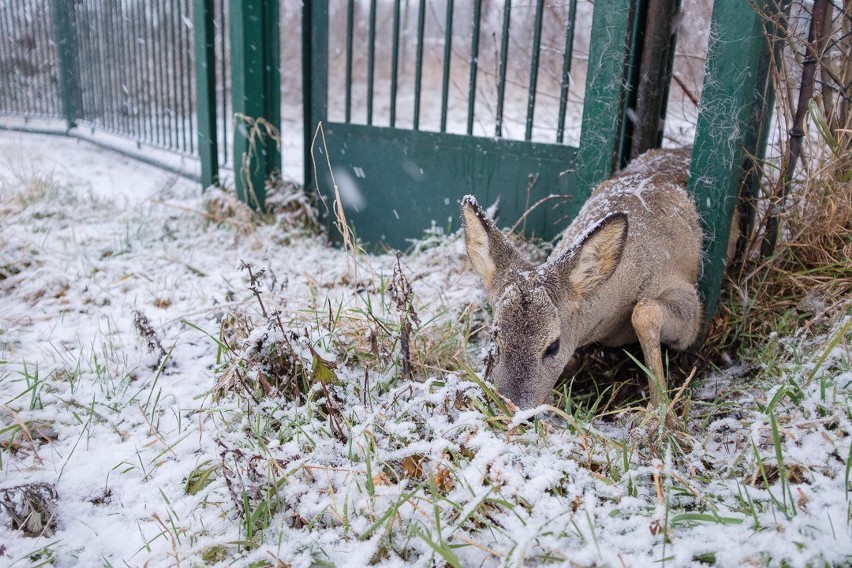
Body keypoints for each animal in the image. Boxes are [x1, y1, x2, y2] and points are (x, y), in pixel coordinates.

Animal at [460, 146, 704, 412]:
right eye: (495, 337)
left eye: (553, 346)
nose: (512, 408)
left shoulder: (689, 299)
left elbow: (645, 311)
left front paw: (660, 409)